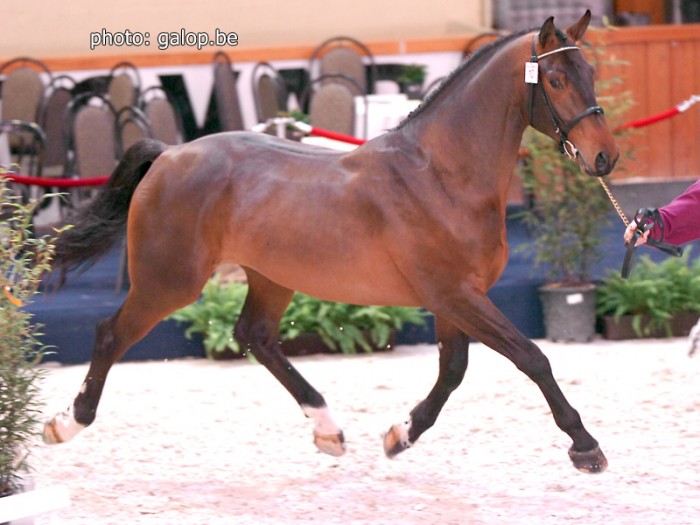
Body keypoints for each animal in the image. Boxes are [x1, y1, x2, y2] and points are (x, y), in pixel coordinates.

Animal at [43, 11, 618, 473]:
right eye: (557, 79)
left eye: (592, 74)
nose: (605, 158)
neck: (440, 174)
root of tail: (168, 155)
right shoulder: (456, 293)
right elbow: (531, 357)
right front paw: (585, 447)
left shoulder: (455, 297)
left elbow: (453, 370)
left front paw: (399, 436)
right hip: (169, 282)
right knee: (110, 335)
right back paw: (66, 424)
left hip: (270, 278)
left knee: (256, 337)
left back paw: (328, 429)